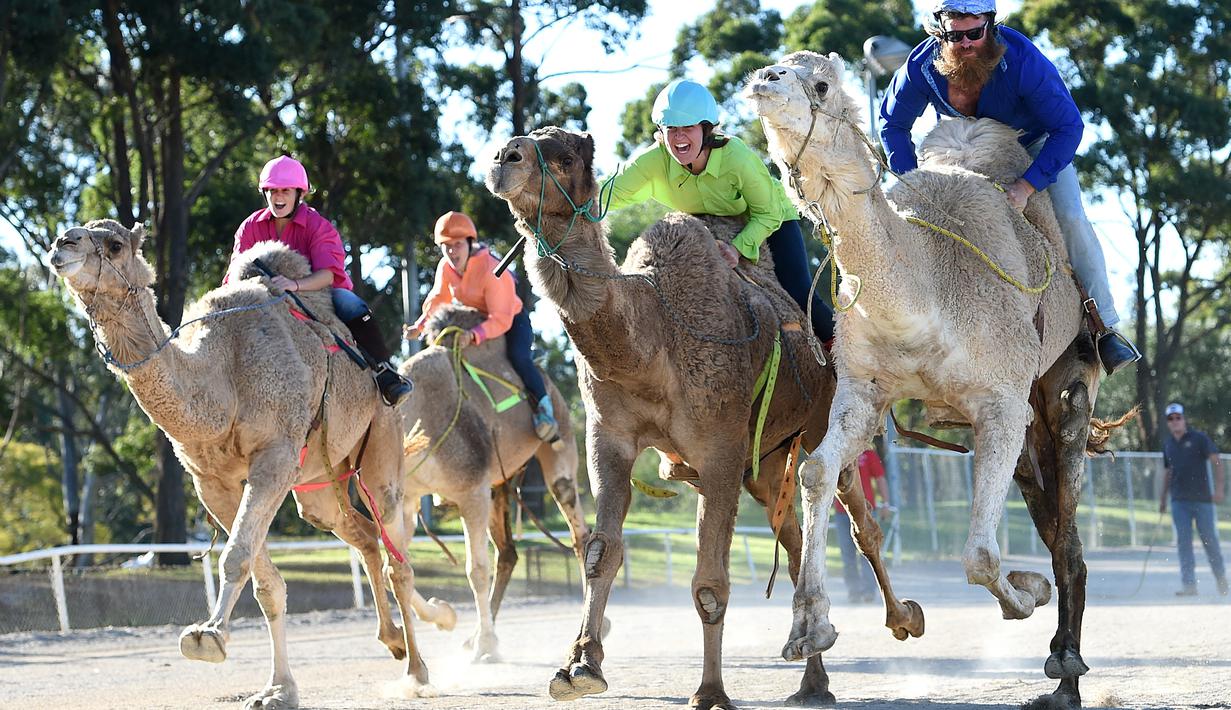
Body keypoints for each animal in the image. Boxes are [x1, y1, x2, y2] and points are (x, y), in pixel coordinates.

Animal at [47, 221, 448, 708]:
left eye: (114, 244)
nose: (61, 245)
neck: (222, 381)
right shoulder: (211, 482)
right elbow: (265, 582)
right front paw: (278, 689)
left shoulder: (274, 457)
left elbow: (237, 556)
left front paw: (207, 638)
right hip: (318, 485)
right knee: (363, 535)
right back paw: (397, 638)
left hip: (381, 440)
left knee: (397, 554)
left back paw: (418, 669)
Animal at [396, 303, 589, 663]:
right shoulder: (407, 498)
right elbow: (398, 567)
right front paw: (446, 617)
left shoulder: (471, 491)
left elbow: (475, 570)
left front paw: (485, 644)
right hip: (498, 483)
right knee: (508, 553)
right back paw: (473, 636)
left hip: (561, 447)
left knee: (579, 533)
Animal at [485, 126, 908, 710]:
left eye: (566, 155)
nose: (505, 157)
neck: (653, 335)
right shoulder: (609, 436)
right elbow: (600, 551)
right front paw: (579, 667)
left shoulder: (719, 448)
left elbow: (710, 582)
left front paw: (709, 692)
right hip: (767, 461)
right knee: (795, 542)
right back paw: (812, 678)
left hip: (822, 423)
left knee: (857, 515)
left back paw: (902, 620)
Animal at [746, 51, 1118, 708]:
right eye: (779, 67)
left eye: (820, 83)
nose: (762, 81)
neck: (925, 285)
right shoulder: (864, 391)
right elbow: (815, 470)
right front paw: (809, 627)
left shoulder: (1000, 403)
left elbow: (978, 555)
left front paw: (1027, 592)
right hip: (1028, 427)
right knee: (1051, 519)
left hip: (1069, 381)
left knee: (1069, 530)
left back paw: (1065, 668)